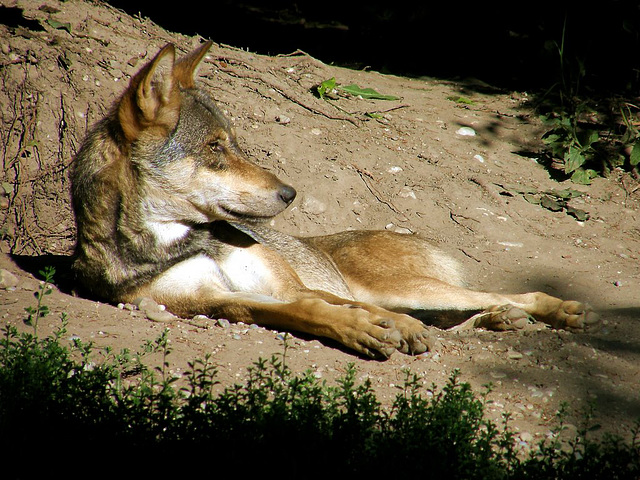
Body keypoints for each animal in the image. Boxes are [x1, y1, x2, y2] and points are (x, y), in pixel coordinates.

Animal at [71, 42, 600, 356]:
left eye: (234, 143)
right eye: (215, 148)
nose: (289, 193)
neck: (181, 241)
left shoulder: (291, 285)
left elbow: (341, 306)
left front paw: (382, 327)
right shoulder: (218, 300)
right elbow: (303, 312)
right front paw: (360, 330)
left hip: (407, 288)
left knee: (504, 297)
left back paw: (551, 311)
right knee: (460, 318)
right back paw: (499, 322)